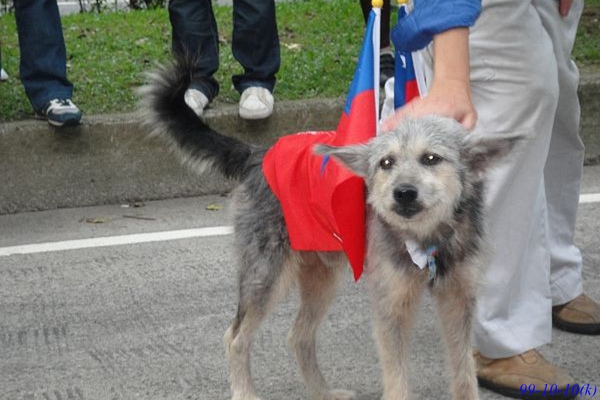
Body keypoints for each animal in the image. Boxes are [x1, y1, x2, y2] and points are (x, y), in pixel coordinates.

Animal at [139, 58, 520, 400]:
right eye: (386, 163)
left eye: (431, 159)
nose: (402, 193)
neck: (429, 237)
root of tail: (258, 154)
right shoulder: (391, 307)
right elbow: (397, 379)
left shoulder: (458, 301)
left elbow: (464, 374)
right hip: (265, 276)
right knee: (235, 338)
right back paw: (245, 393)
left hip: (319, 278)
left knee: (298, 336)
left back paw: (322, 392)